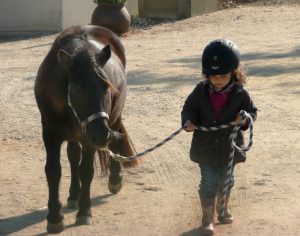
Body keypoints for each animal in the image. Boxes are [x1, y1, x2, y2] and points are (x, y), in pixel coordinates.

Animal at [34, 25, 139, 232]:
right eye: (75, 89)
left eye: (107, 88)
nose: (101, 134)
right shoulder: (50, 134)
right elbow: (53, 171)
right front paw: (54, 217)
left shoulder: (89, 138)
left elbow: (86, 171)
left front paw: (84, 212)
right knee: (73, 156)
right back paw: (74, 194)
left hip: (113, 119)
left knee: (114, 142)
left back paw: (114, 180)